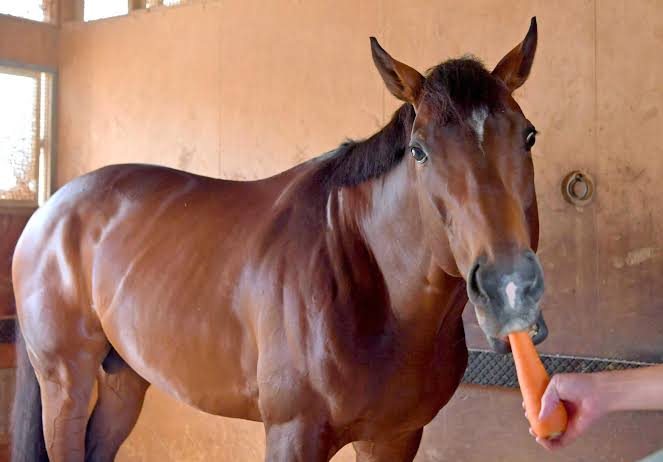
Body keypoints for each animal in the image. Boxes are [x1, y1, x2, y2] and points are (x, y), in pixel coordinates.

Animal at [12, 18, 544, 462]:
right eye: (418, 150)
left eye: (529, 136)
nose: (508, 288)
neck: (371, 289)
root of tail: (50, 211)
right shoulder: (294, 435)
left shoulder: (393, 439)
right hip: (66, 384)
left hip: (125, 379)